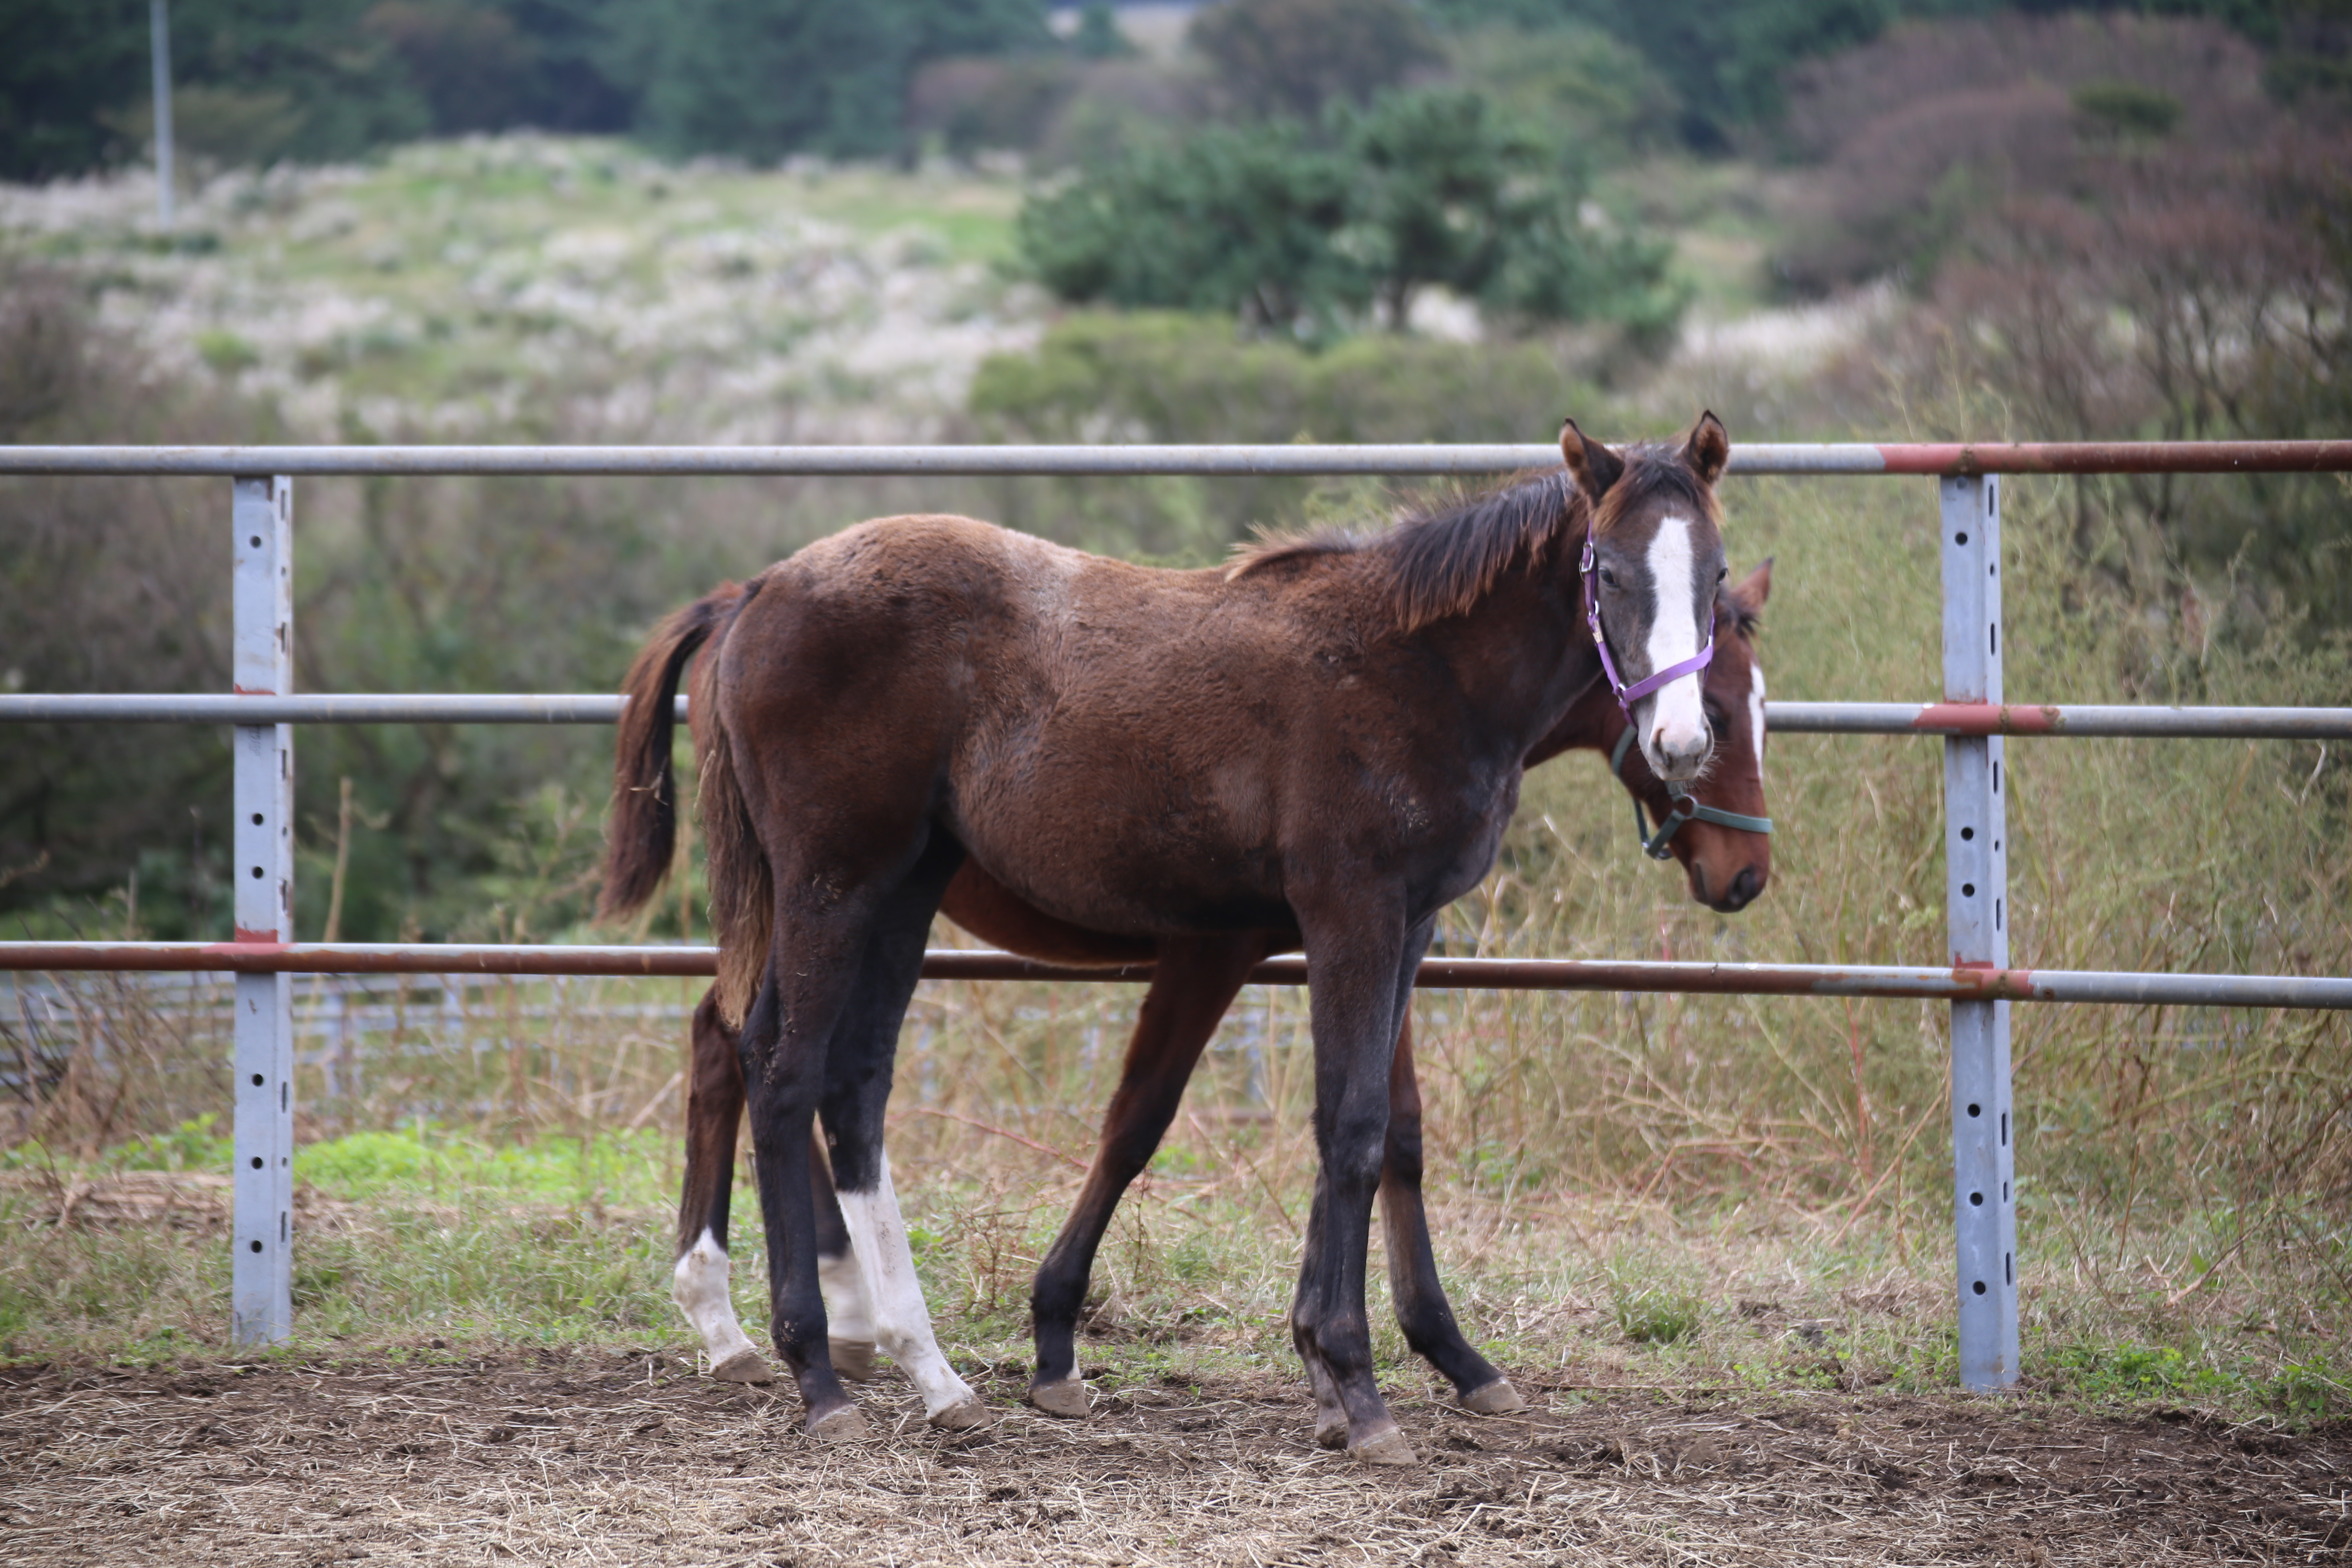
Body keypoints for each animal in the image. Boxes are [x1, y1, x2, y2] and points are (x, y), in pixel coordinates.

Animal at [602, 421, 1750, 1476]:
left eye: (1717, 570)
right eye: (1609, 571)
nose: (1680, 747)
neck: (1419, 668)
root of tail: (753, 592)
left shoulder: (1403, 925)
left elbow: (1377, 1129)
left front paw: (1340, 1373)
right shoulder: (1343, 915)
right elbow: (1345, 1127)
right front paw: (1357, 1386)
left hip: (899, 891)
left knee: (845, 1083)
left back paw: (925, 1371)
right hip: (831, 887)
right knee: (783, 1070)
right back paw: (814, 1368)